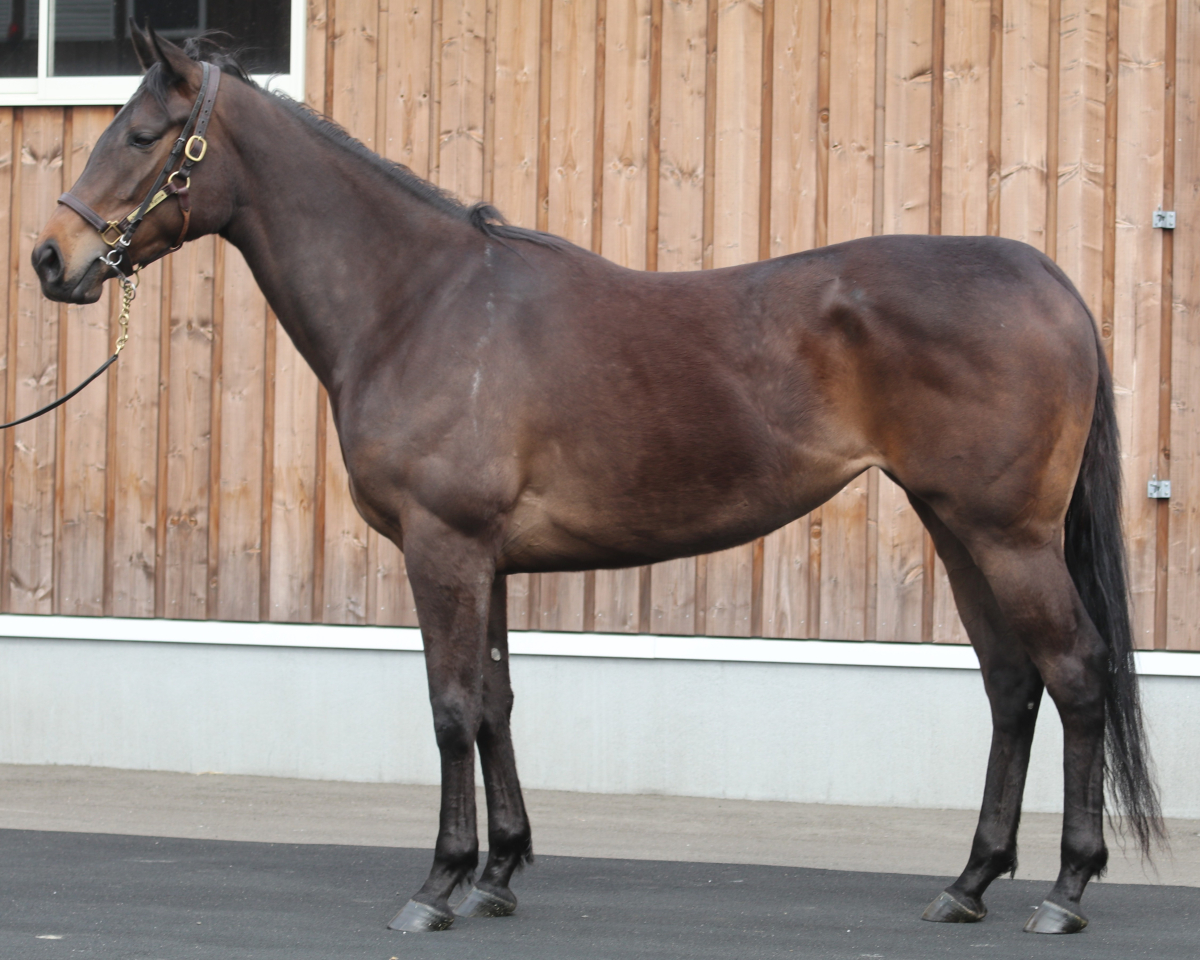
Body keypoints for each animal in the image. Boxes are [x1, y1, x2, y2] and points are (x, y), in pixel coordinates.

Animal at [32, 26, 1161, 936]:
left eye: (142, 135)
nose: (51, 258)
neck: (418, 302)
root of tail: (1049, 280)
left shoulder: (443, 548)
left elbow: (450, 707)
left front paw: (437, 886)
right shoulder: (484, 558)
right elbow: (496, 701)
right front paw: (499, 874)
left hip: (1008, 535)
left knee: (1074, 674)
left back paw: (1064, 892)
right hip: (955, 526)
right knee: (1011, 686)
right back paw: (967, 884)